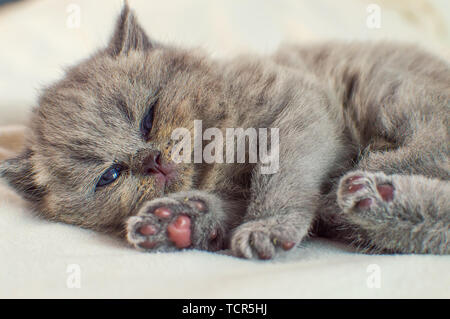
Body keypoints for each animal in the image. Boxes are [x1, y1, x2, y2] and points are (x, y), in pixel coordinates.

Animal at [0, 4, 448, 260]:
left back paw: (366, 190)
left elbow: (280, 177)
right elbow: (229, 206)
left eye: (148, 117)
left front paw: (267, 226)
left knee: (428, 152)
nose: (153, 161)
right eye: (109, 175)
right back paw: (377, 201)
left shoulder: (297, 101)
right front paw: (177, 220)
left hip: (390, 92)